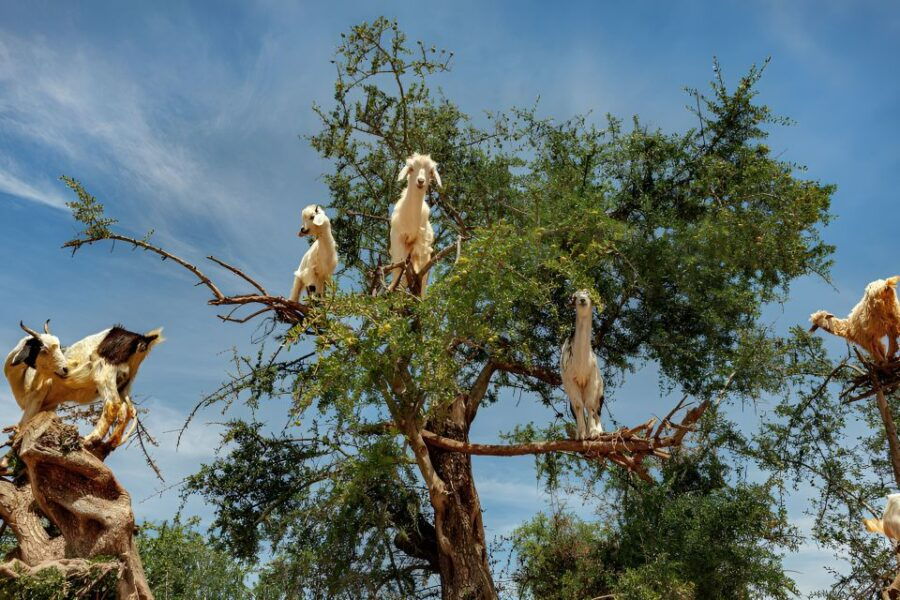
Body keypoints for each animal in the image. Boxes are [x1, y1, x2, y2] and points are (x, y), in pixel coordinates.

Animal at [390, 153, 440, 292]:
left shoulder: (420, 244)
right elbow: (398, 269)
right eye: (411, 168)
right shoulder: (397, 239)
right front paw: (393, 288)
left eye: (431, 171)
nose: (420, 181)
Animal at [560, 290, 605, 440]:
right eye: (575, 297)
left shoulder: (592, 380)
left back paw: (600, 430)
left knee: (597, 410)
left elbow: (590, 405)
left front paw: (593, 432)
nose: (583, 300)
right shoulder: (570, 381)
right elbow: (579, 406)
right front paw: (581, 434)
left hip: (600, 393)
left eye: (589, 295)